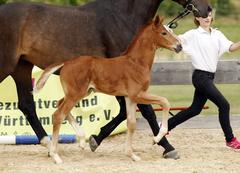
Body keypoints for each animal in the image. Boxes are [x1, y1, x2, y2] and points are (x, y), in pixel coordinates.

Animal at [0, 0, 210, 147]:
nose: (206, 9)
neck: (122, 16)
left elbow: (125, 112)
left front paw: (95, 139)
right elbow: (146, 111)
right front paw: (166, 146)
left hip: (22, 67)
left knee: (27, 104)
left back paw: (47, 142)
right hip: (7, 66)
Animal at [33, 15, 180, 164]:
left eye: (170, 31)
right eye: (164, 33)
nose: (179, 46)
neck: (136, 63)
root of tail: (66, 63)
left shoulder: (130, 98)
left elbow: (131, 124)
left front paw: (132, 155)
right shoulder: (137, 94)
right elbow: (165, 102)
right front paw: (156, 139)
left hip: (79, 93)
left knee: (59, 104)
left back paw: (81, 140)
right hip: (75, 94)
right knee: (58, 115)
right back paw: (56, 156)